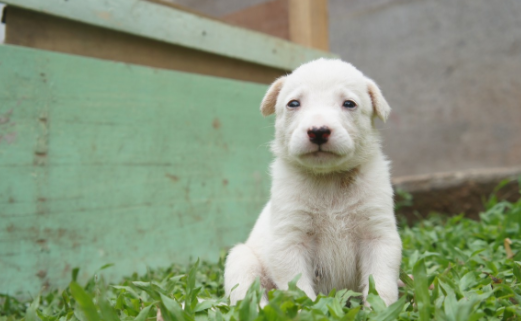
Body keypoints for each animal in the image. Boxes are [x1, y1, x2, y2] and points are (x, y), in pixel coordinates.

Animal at [224, 58, 402, 306]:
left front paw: (381, 309)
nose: (318, 131)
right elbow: (298, 289)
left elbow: (381, 282)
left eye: (349, 103)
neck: (328, 179)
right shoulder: (289, 239)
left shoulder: (378, 234)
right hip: (241, 260)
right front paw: (305, 309)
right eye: (293, 103)